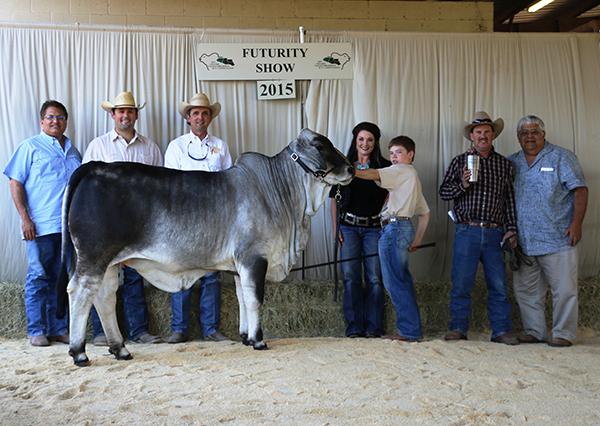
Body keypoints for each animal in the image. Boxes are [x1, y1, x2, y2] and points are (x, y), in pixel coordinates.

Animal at [56, 128, 354, 364]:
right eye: (320, 146)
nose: (351, 168)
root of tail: (94, 166)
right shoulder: (254, 258)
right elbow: (255, 299)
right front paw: (259, 340)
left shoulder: (238, 266)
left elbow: (242, 297)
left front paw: (246, 337)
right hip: (94, 256)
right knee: (80, 293)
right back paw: (79, 352)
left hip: (109, 262)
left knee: (104, 298)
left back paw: (120, 349)